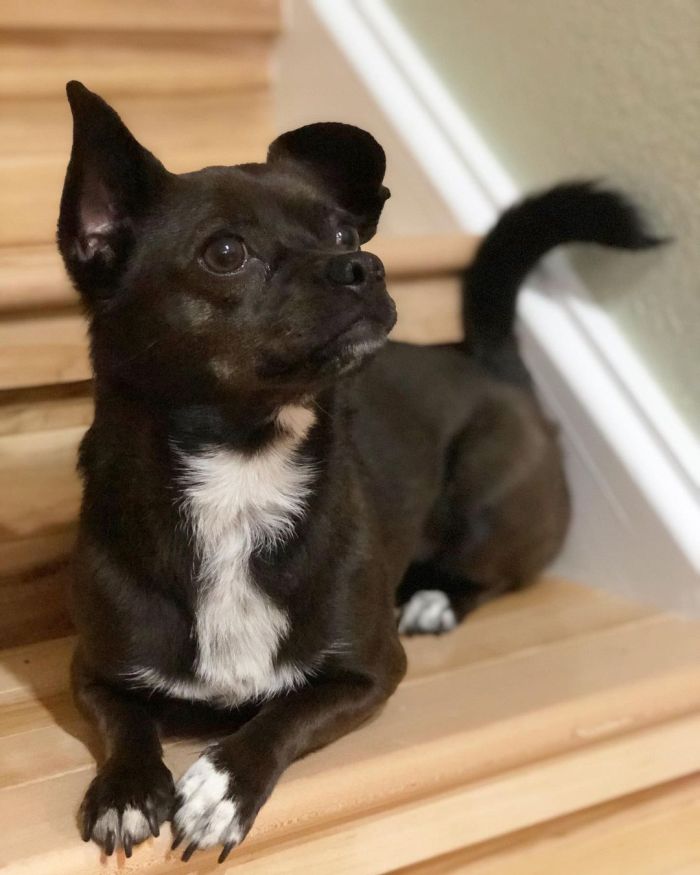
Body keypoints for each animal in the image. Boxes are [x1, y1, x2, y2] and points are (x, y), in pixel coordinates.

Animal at [58, 82, 656, 864]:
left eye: (346, 236)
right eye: (226, 252)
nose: (364, 267)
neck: (243, 477)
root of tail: (492, 364)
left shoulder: (370, 670)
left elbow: (284, 711)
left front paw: (222, 783)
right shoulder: (92, 670)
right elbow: (126, 720)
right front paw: (127, 790)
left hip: (484, 502)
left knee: (499, 573)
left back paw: (434, 599)